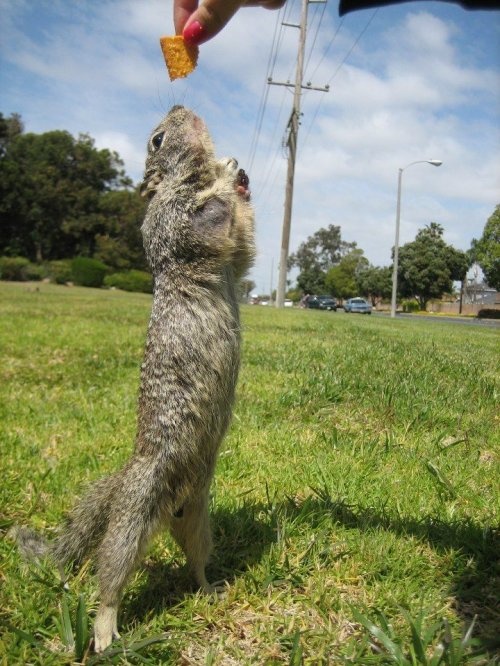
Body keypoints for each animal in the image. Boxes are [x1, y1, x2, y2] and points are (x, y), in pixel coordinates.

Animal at [15, 105, 255, 653]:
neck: (181, 185)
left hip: (200, 519)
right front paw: (227, 175)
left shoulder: (234, 257)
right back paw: (105, 633)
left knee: (194, 560)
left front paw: (237, 174)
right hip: (133, 519)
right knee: (111, 579)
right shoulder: (176, 222)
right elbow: (211, 220)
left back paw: (210, 588)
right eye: (157, 139)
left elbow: (244, 249)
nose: (182, 106)